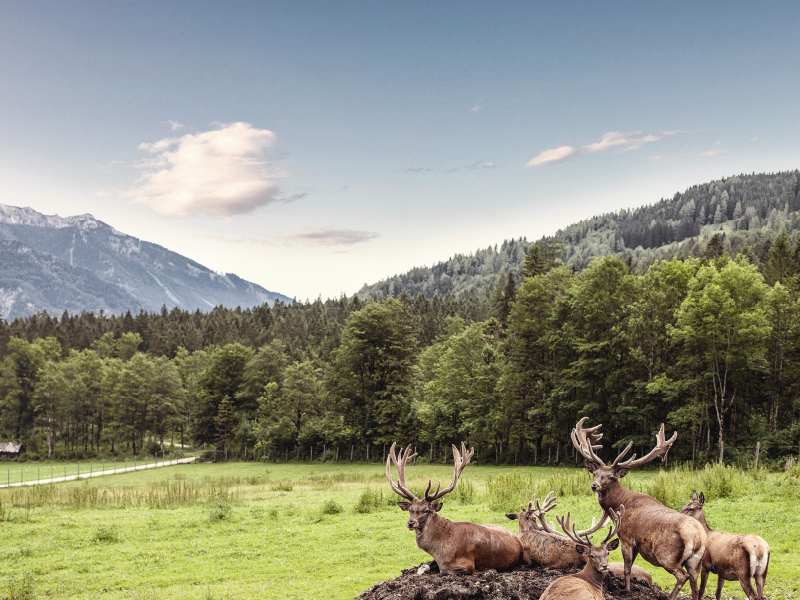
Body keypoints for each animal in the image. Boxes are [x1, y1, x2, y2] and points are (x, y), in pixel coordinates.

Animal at [384, 442, 520, 576]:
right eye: (410, 509)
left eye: (426, 510)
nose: (411, 523)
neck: (438, 550)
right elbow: (422, 567)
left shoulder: (467, 565)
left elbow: (443, 571)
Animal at [568, 418, 708, 600]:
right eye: (595, 474)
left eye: (611, 477)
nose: (594, 486)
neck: (621, 503)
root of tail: (698, 535)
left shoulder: (627, 538)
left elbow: (627, 568)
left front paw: (626, 590)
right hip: (695, 561)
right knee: (695, 584)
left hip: (666, 555)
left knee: (682, 576)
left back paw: (669, 597)